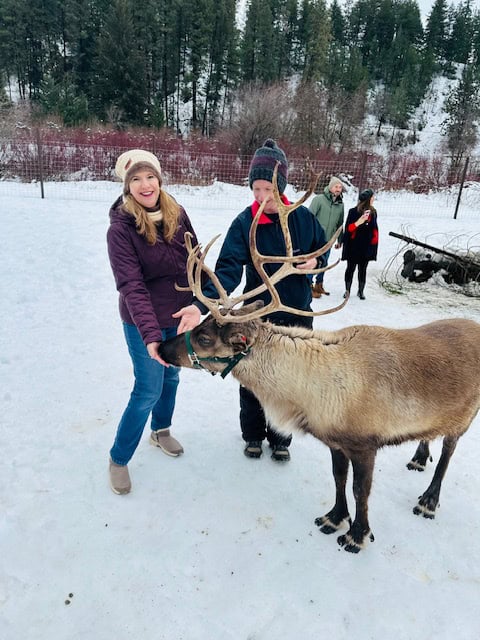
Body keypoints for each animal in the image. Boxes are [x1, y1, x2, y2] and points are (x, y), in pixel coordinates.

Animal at [160, 166, 480, 553]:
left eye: (206, 338)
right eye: (200, 324)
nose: (162, 348)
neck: (312, 388)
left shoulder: (365, 444)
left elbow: (360, 490)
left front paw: (357, 534)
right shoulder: (335, 442)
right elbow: (338, 479)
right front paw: (333, 518)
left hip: (465, 415)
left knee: (448, 453)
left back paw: (428, 501)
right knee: (430, 437)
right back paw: (418, 459)